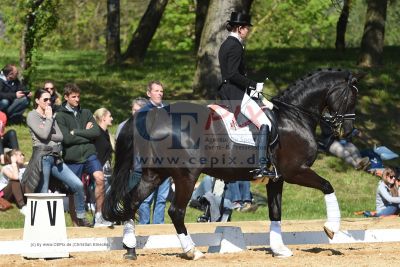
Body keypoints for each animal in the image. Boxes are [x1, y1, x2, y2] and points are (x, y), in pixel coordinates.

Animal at [102, 68, 360, 260]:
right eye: (351, 97)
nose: (348, 131)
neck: (295, 116)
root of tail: (153, 118)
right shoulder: (295, 171)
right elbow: (327, 186)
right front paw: (331, 228)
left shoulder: (276, 178)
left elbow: (275, 212)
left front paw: (279, 249)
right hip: (186, 175)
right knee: (176, 211)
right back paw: (192, 252)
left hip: (154, 174)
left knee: (132, 202)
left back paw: (130, 249)